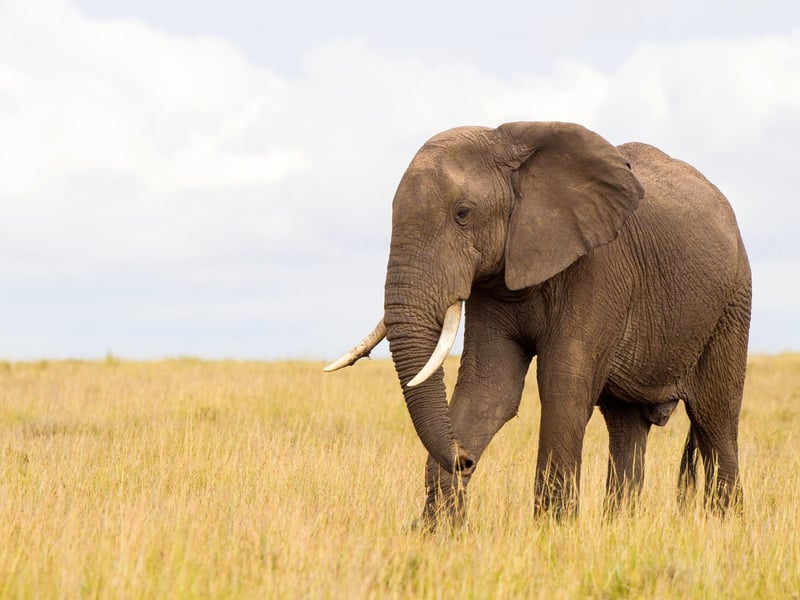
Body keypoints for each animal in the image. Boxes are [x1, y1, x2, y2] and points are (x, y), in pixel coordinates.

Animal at [325, 121, 751, 526]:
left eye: (463, 214)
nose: (465, 459)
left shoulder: (599, 266)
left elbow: (564, 382)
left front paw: (553, 532)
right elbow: (490, 387)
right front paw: (439, 532)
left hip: (732, 303)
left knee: (714, 418)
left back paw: (723, 525)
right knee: (626, 427)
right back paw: (619, 529)